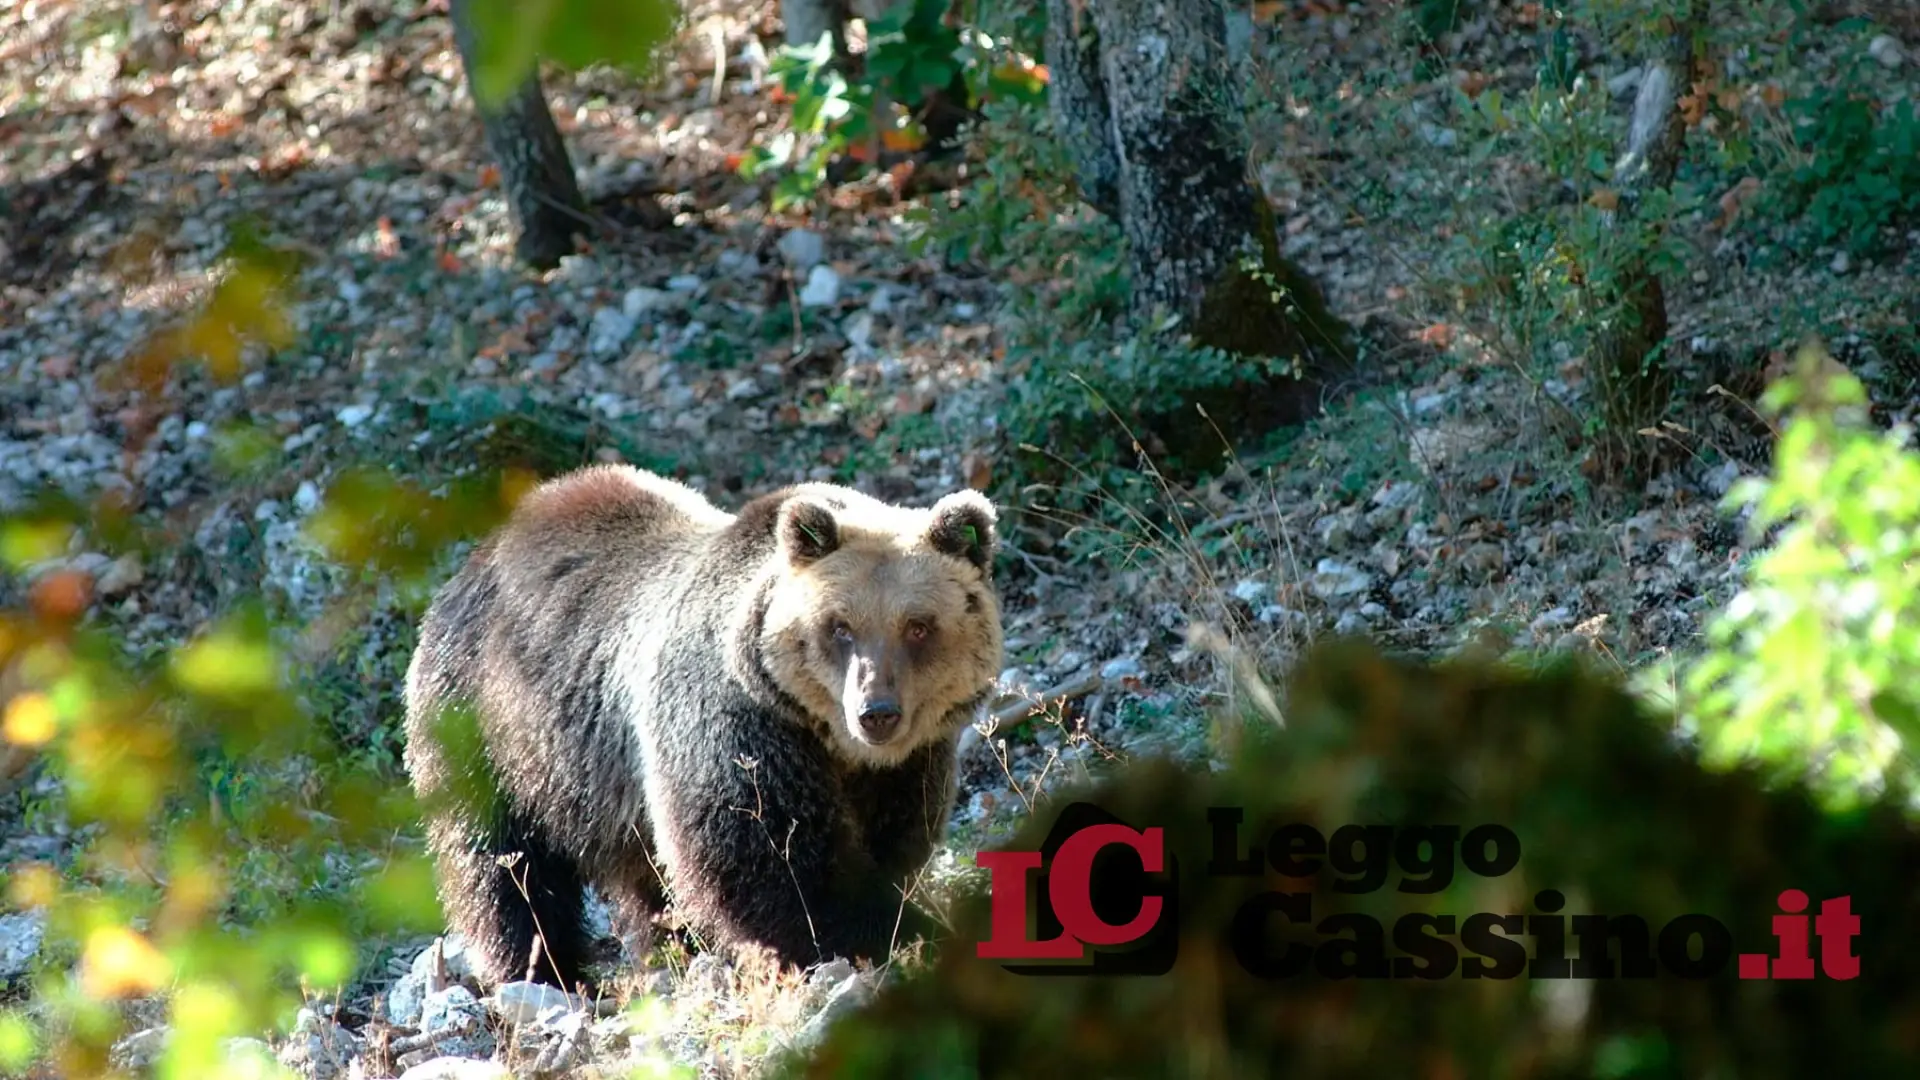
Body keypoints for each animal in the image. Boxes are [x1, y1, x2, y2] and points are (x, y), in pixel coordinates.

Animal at [401, 464, 1004, 991]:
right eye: (840, 627)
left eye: (918, 626)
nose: (876, 711)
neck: (830, 741)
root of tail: (477, 557)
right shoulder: (733, 722)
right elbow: (771, 859)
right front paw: (893, 932)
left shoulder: (907, 763)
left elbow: (894, 840)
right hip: (491, 727)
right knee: (502, 865)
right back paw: (546, 972)